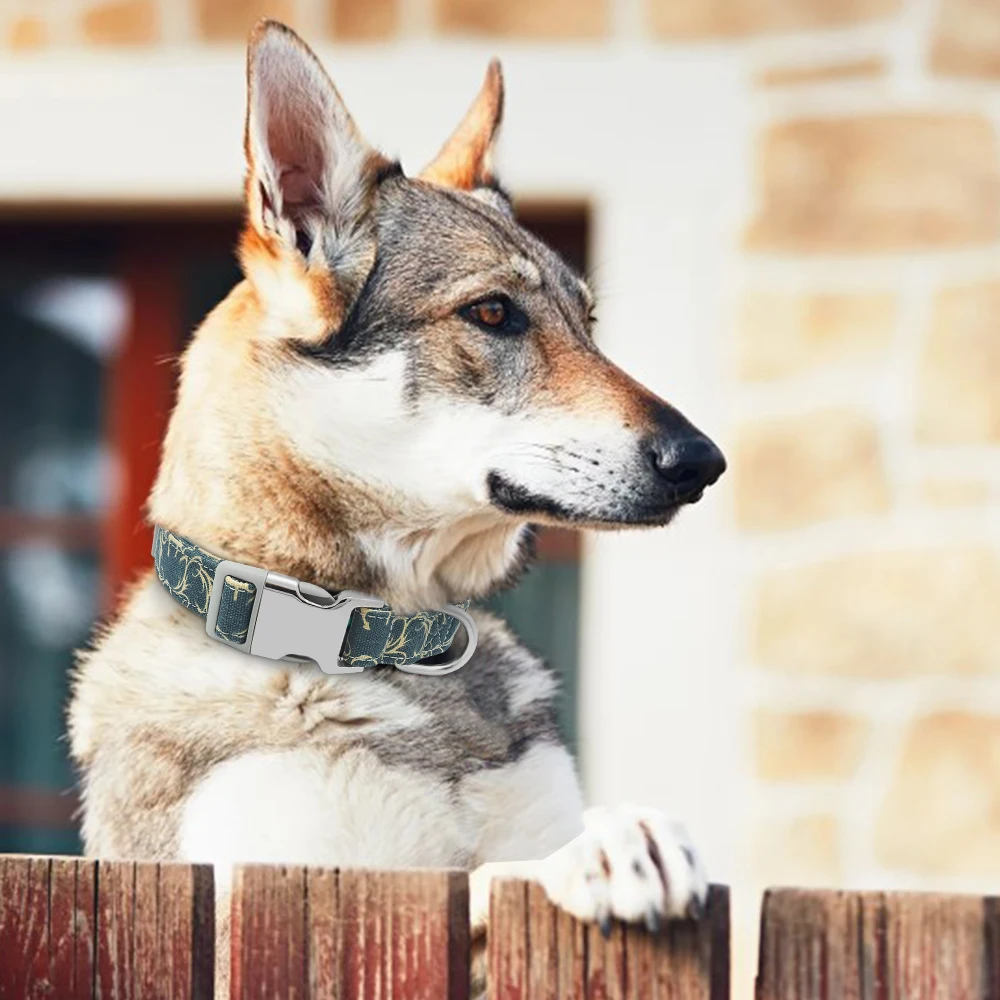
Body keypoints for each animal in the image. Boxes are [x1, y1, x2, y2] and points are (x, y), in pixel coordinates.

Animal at [70, 21, 728, 992]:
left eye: (588, 323)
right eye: (492, 313)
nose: (703, 462)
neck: (389, 643)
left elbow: (515, 858)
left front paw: (621, 832)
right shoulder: (280, 893)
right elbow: (483, 883)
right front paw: (597, 856)